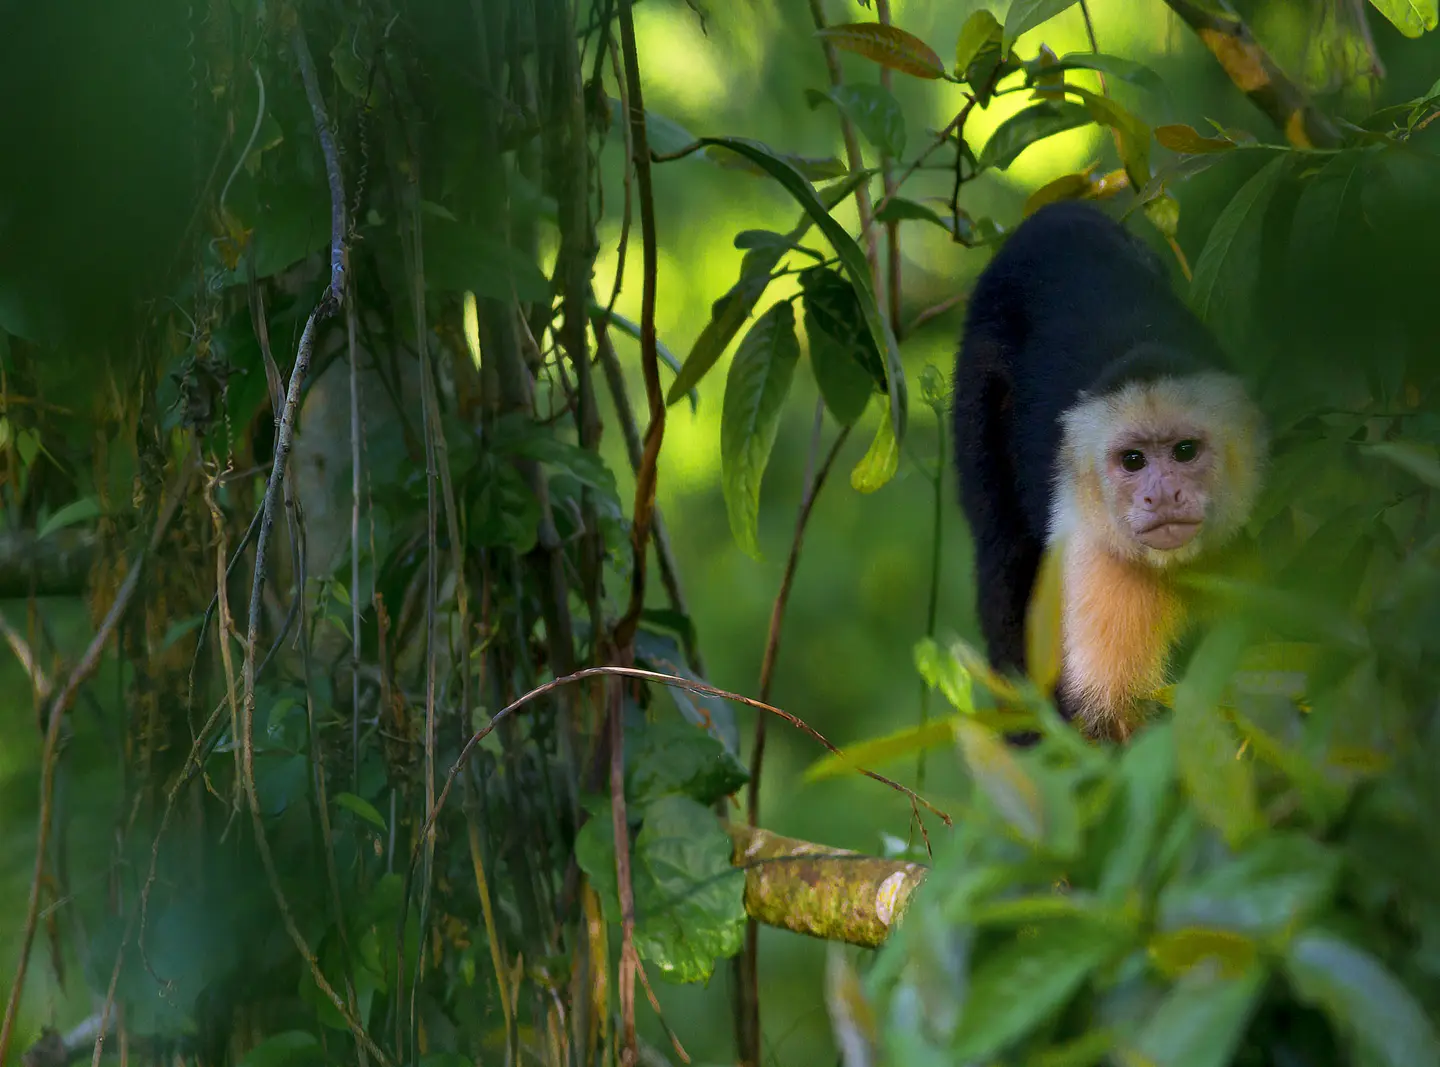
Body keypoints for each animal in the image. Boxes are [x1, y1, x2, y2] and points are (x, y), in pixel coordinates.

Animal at [950, 200, 1267, 743]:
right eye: (1133, 461)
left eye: (1185, 451)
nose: (1161, 496)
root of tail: (1053, 214)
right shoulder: (1096, 551)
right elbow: (1109, 721)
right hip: (977, 375)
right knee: (1004, 554)